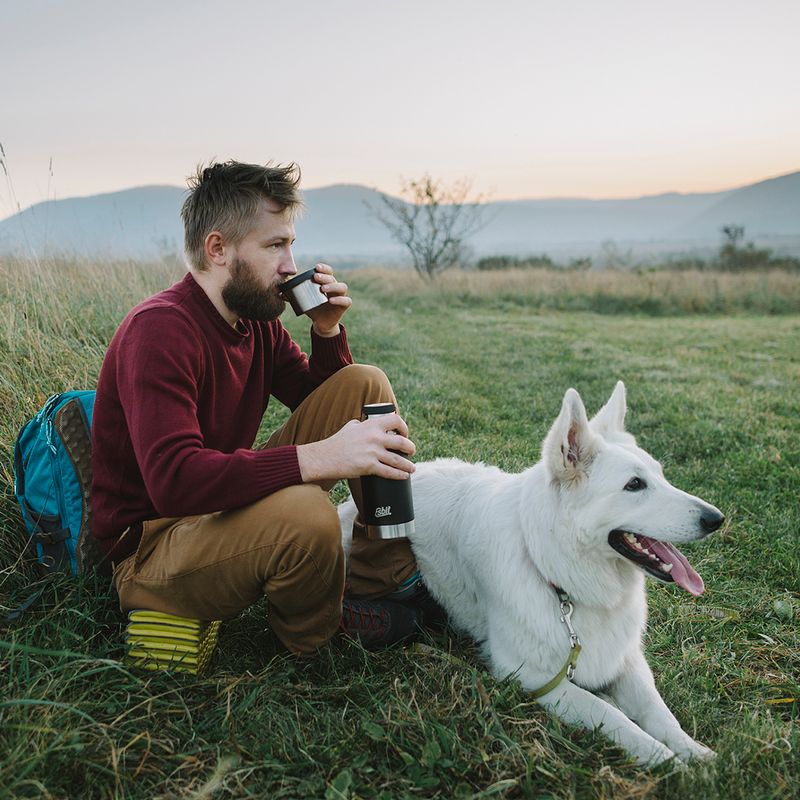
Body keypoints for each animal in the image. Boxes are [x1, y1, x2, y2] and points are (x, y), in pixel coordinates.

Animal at [340, 384, 724, 764]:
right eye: (634, 485)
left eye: (661, 475)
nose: (716, 519)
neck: (558, 576)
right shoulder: (532, 675)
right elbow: (611, 715)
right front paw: (668, 762)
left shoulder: (626, 660)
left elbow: (658, 712)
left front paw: (695, 754)